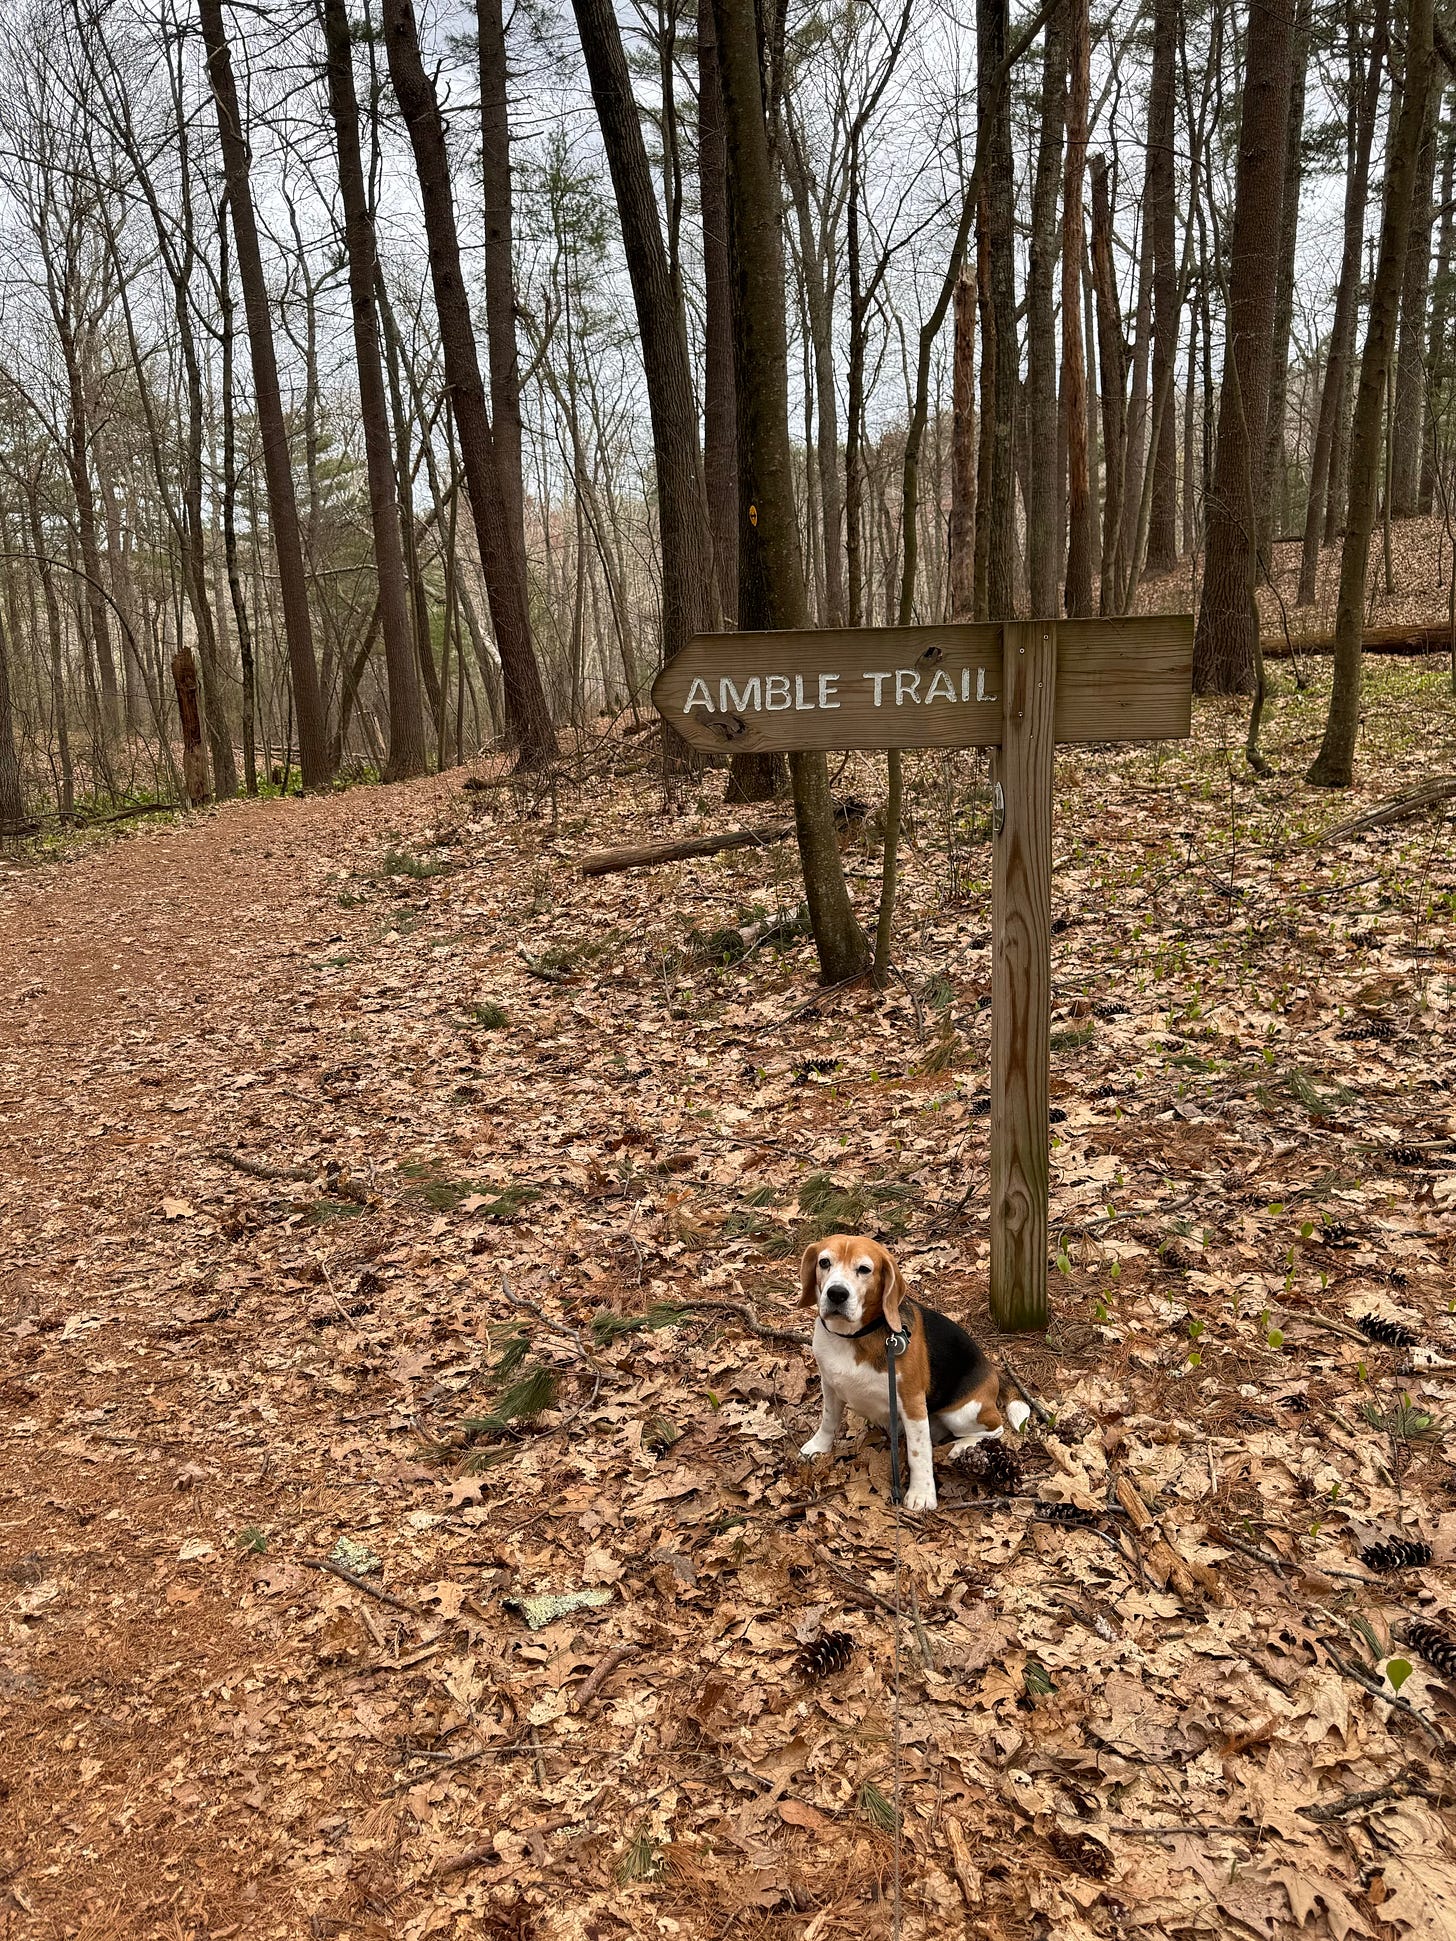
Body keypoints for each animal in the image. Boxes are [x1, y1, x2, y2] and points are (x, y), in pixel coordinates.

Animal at [799, 1226, 1040, 1513]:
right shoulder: (830, 1385)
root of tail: (993, 1373)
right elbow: (828, 1420)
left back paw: (961, 1447)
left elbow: (918, 1454)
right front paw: (818, 1446)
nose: (836, 1293)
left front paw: (922, 1494)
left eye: (864, 1269)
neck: (852, 1336)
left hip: (962, 1413)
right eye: (824, 1262)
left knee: (994, 1428)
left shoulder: (911, 1402)